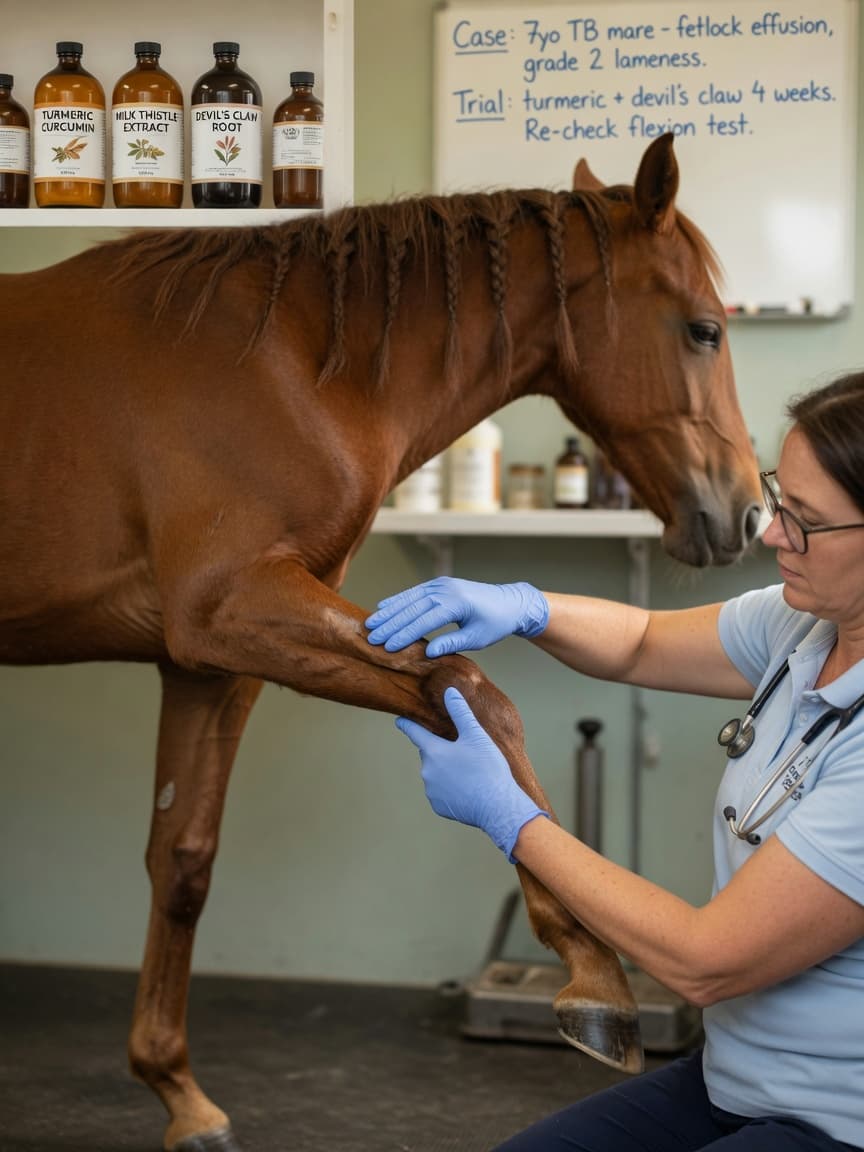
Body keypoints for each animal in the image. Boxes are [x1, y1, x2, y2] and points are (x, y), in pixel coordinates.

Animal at [0, 132, 761, 1152]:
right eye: (705, 330)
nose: (750, 512)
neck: (290, 363)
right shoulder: (234, 609)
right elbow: (479, 697)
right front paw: (594, 974)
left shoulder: (210, 664)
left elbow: (183, 860)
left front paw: (177, 1092)